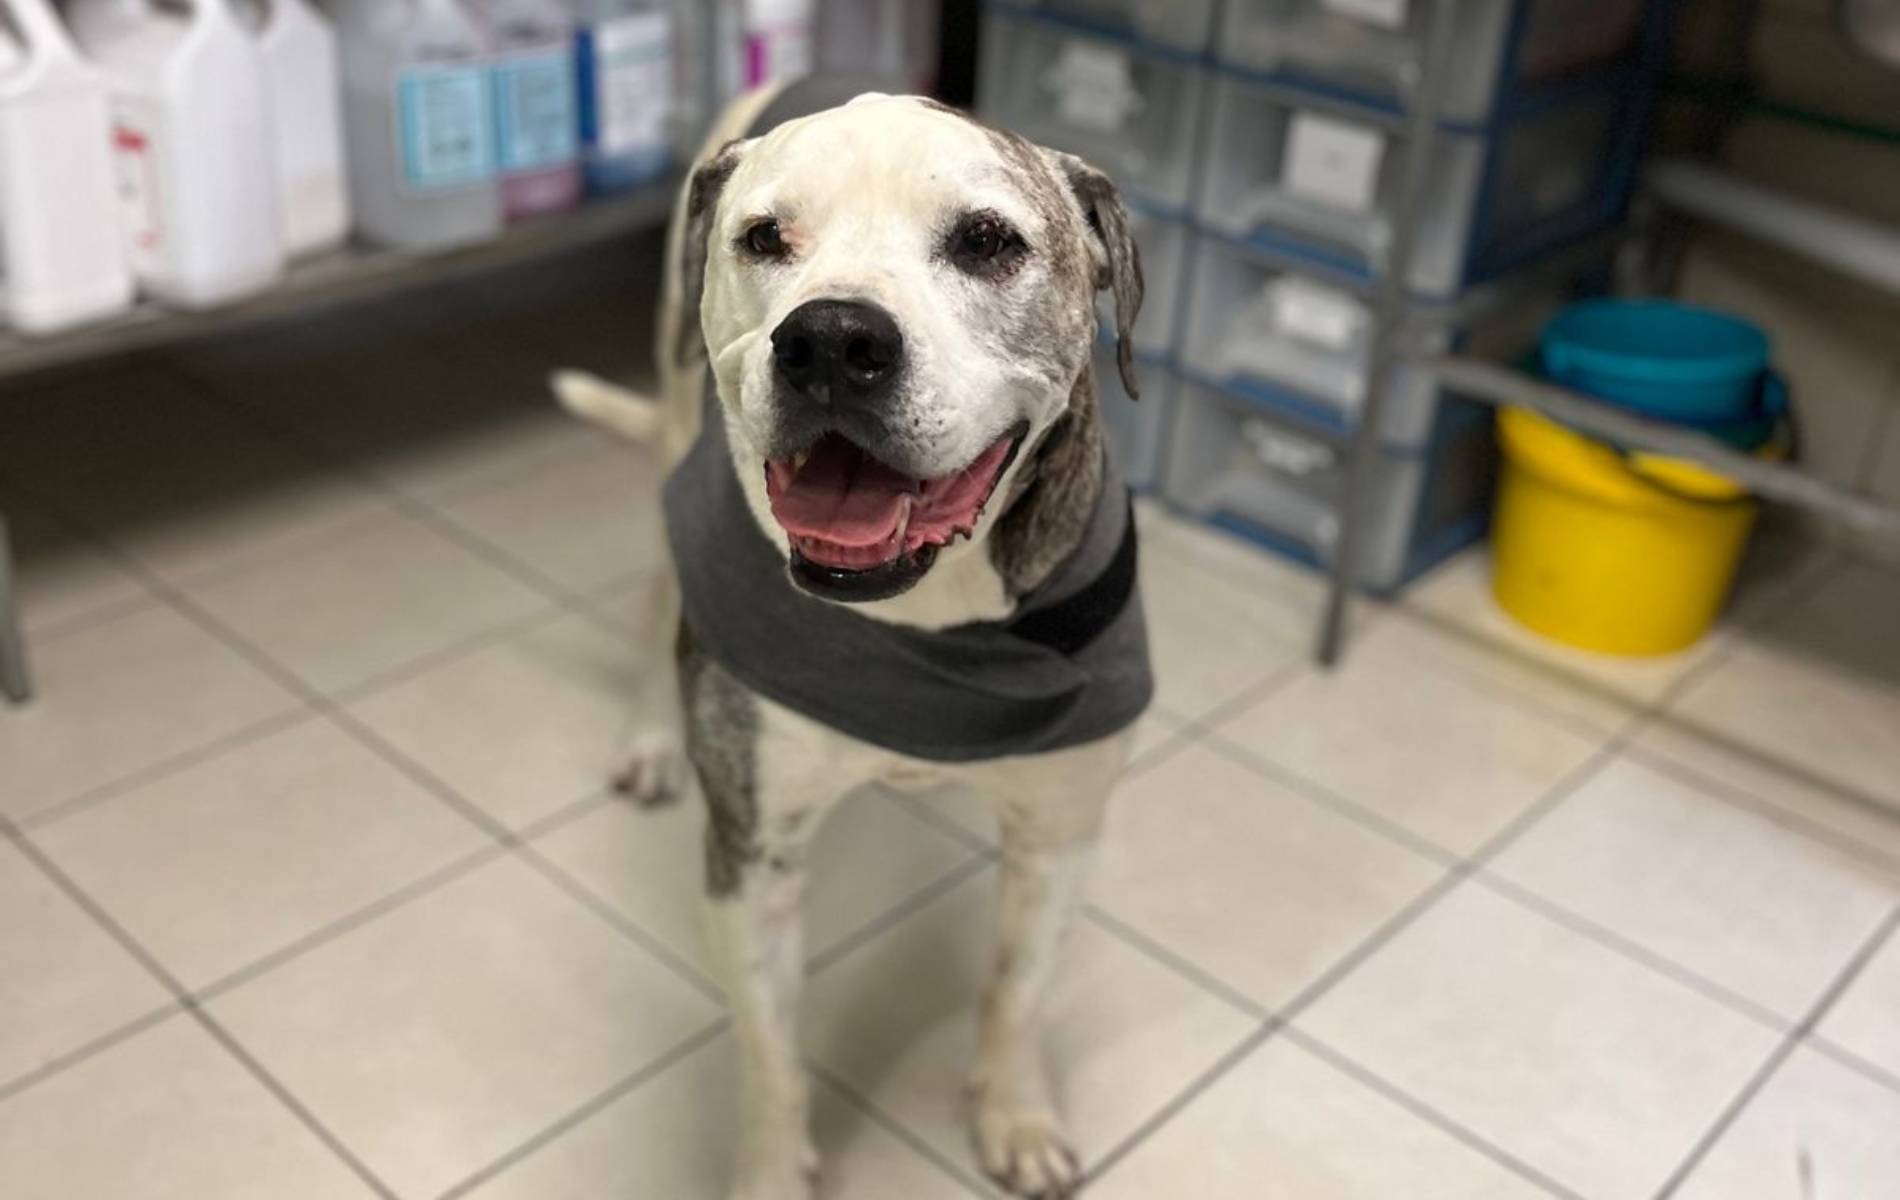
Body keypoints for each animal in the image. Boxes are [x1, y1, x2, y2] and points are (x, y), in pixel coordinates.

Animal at [554, 84, 1147, 1200]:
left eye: (987, 241)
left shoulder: (1061, 831)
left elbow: (1018, 991)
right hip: (672, 427)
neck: (917, 624)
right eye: (764, 237)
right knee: (658, 593)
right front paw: (772, 1173)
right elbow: (772, 1057)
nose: (830, 339)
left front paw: (1014, 1115)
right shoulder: (753, 859)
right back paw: (650, 738)